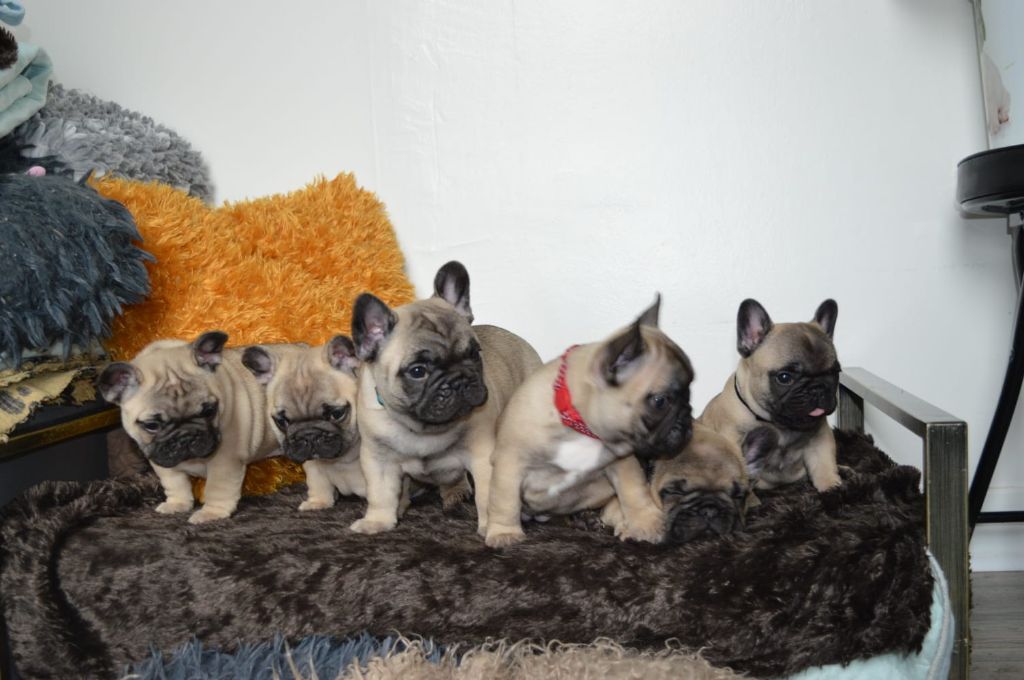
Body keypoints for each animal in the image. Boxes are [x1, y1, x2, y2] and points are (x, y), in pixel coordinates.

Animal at [96, 331, 278, 523]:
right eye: (152, 425)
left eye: (209, 411)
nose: (186, 435)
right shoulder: (163, 461)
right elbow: (175, 483)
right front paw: (178, 504)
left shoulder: (225, 460)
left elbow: (217, 488)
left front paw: (211, 513)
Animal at [241, 337, 367, 511]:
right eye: (281, 421)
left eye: (337, 414)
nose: (309, 435)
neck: (342, 459)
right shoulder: (314, 466)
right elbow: (319, 483)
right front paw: (318, 503)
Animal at [348, 260, 542, 535]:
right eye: (417, 371)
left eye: (474, 353)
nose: (459, 380)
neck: (422, 427)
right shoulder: (379, 459)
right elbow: (380, 493)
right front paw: (377, 521)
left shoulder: (482, 456)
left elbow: (487, 496)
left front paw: (493, 528)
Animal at [484, 296, 694, 547]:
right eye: (660, 401)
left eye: (689, 393)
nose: (687, 418)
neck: (581, 427)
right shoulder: (510, 463)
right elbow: (504, 500)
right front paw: (503, 532)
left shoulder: (623, 463)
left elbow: (634, 491)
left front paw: (647, 524)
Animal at [701, 298, 841, 491]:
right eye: (784, 377)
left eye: (835, 372)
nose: (818, 387)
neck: (779, 424)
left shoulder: (820, 438)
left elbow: (824, 464)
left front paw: (832, 488)